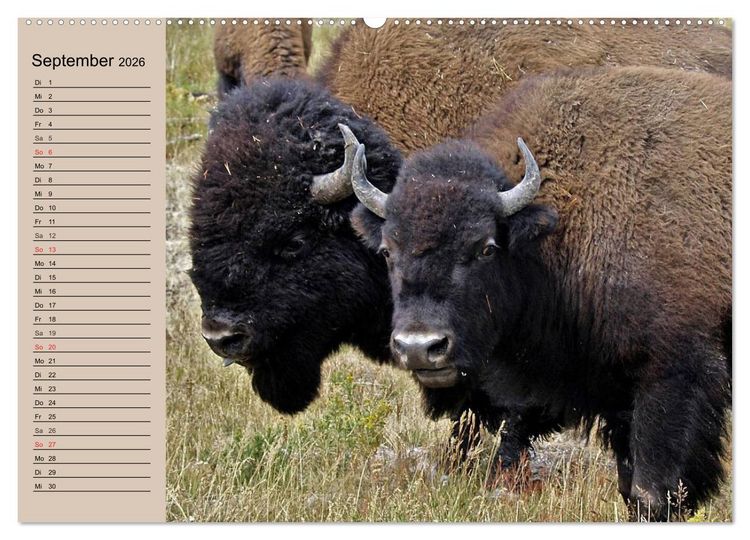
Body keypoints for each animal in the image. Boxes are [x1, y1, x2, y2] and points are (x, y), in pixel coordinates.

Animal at [349, 66, 731, 520]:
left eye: (485, 247)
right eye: (387, 250)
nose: (420, 347)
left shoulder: (673, 372)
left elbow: (650, 489)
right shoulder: (614, 390)